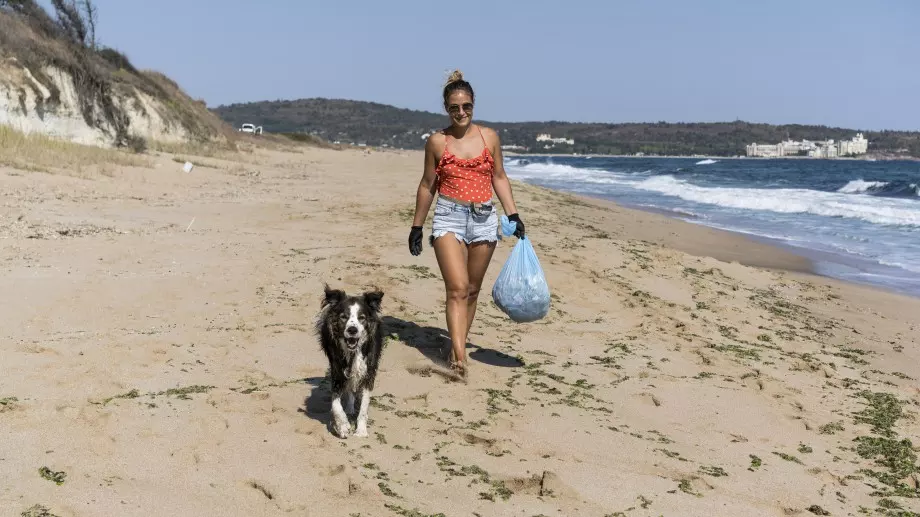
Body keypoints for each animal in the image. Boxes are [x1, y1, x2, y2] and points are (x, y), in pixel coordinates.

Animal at [316, 284, 384, 438]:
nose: (352, 330)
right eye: (343, 317)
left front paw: (361, 431)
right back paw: (349, 409)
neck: (353, 351)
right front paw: (343, 425)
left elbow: (364, 406)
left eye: (362, 318)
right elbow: (335, 403)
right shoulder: (337, 369)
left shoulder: (368, 371)